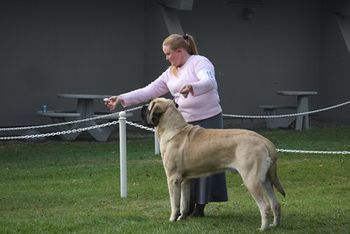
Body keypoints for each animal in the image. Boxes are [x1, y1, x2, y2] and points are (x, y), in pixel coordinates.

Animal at [141, 97, 286, 230]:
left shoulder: (173, 179)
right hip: (266, 180)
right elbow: (184, 202)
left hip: (252, 180)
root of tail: (264, 140)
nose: (142, 108)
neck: (174, 129)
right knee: (276, 204)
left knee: (264, 206)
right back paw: (275, 225)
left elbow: (175, 203)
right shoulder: (185, 180)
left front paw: (172, 219)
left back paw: (263, 227)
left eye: (149, 106)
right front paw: (182, 218)